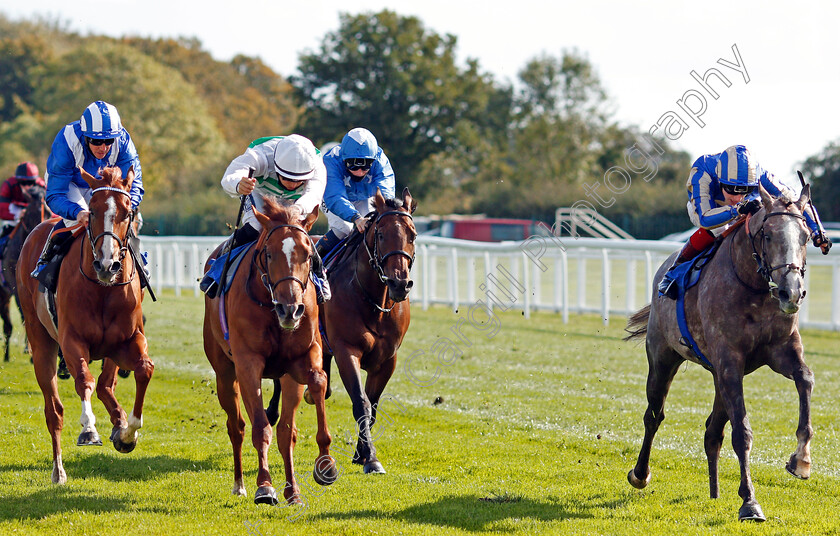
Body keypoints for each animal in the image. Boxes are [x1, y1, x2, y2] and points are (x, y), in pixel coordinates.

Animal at [0, 184, 50, 360]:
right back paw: (7, 355)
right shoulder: (16, 287)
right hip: (3, 294)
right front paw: (28, 350)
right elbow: (23, 314)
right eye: (31, 212)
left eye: (48, 211)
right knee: (8, 325)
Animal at [16, 165, 153, 484]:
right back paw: (58, 470)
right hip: (41, 341)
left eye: (127, 212)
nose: (107, 265)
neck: (103, 290)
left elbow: (142, 369)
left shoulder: (127, 339)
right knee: (54, 410)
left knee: (106, 385)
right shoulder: (71, 340)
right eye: (91, 211)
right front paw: (89, 428)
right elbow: (84, 381)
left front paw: (127, 432)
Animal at [202, 198, 336, 506]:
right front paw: (264, 486)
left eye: (308, 255)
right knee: (237, 425)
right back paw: (240, 484)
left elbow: (317, 384)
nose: (291, 309)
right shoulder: (248, 364)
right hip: (224, 372)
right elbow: (260, 427)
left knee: (286, 430)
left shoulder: (301, 359)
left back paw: (292, 490)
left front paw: (324, 464)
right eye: (270, 254)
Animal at [628, 185, 816, 524]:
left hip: (718, 375)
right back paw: (640, 473)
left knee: (712, 431)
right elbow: (742, 432)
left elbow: (805, 379)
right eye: (768, 234)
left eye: (806, 235)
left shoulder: (780, 352)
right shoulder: (729, 361)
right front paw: (750, 502)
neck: (753, 286)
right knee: (654, 415)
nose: (791, 292)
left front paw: (801, 460)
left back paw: (714, 491)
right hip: (663, 357)